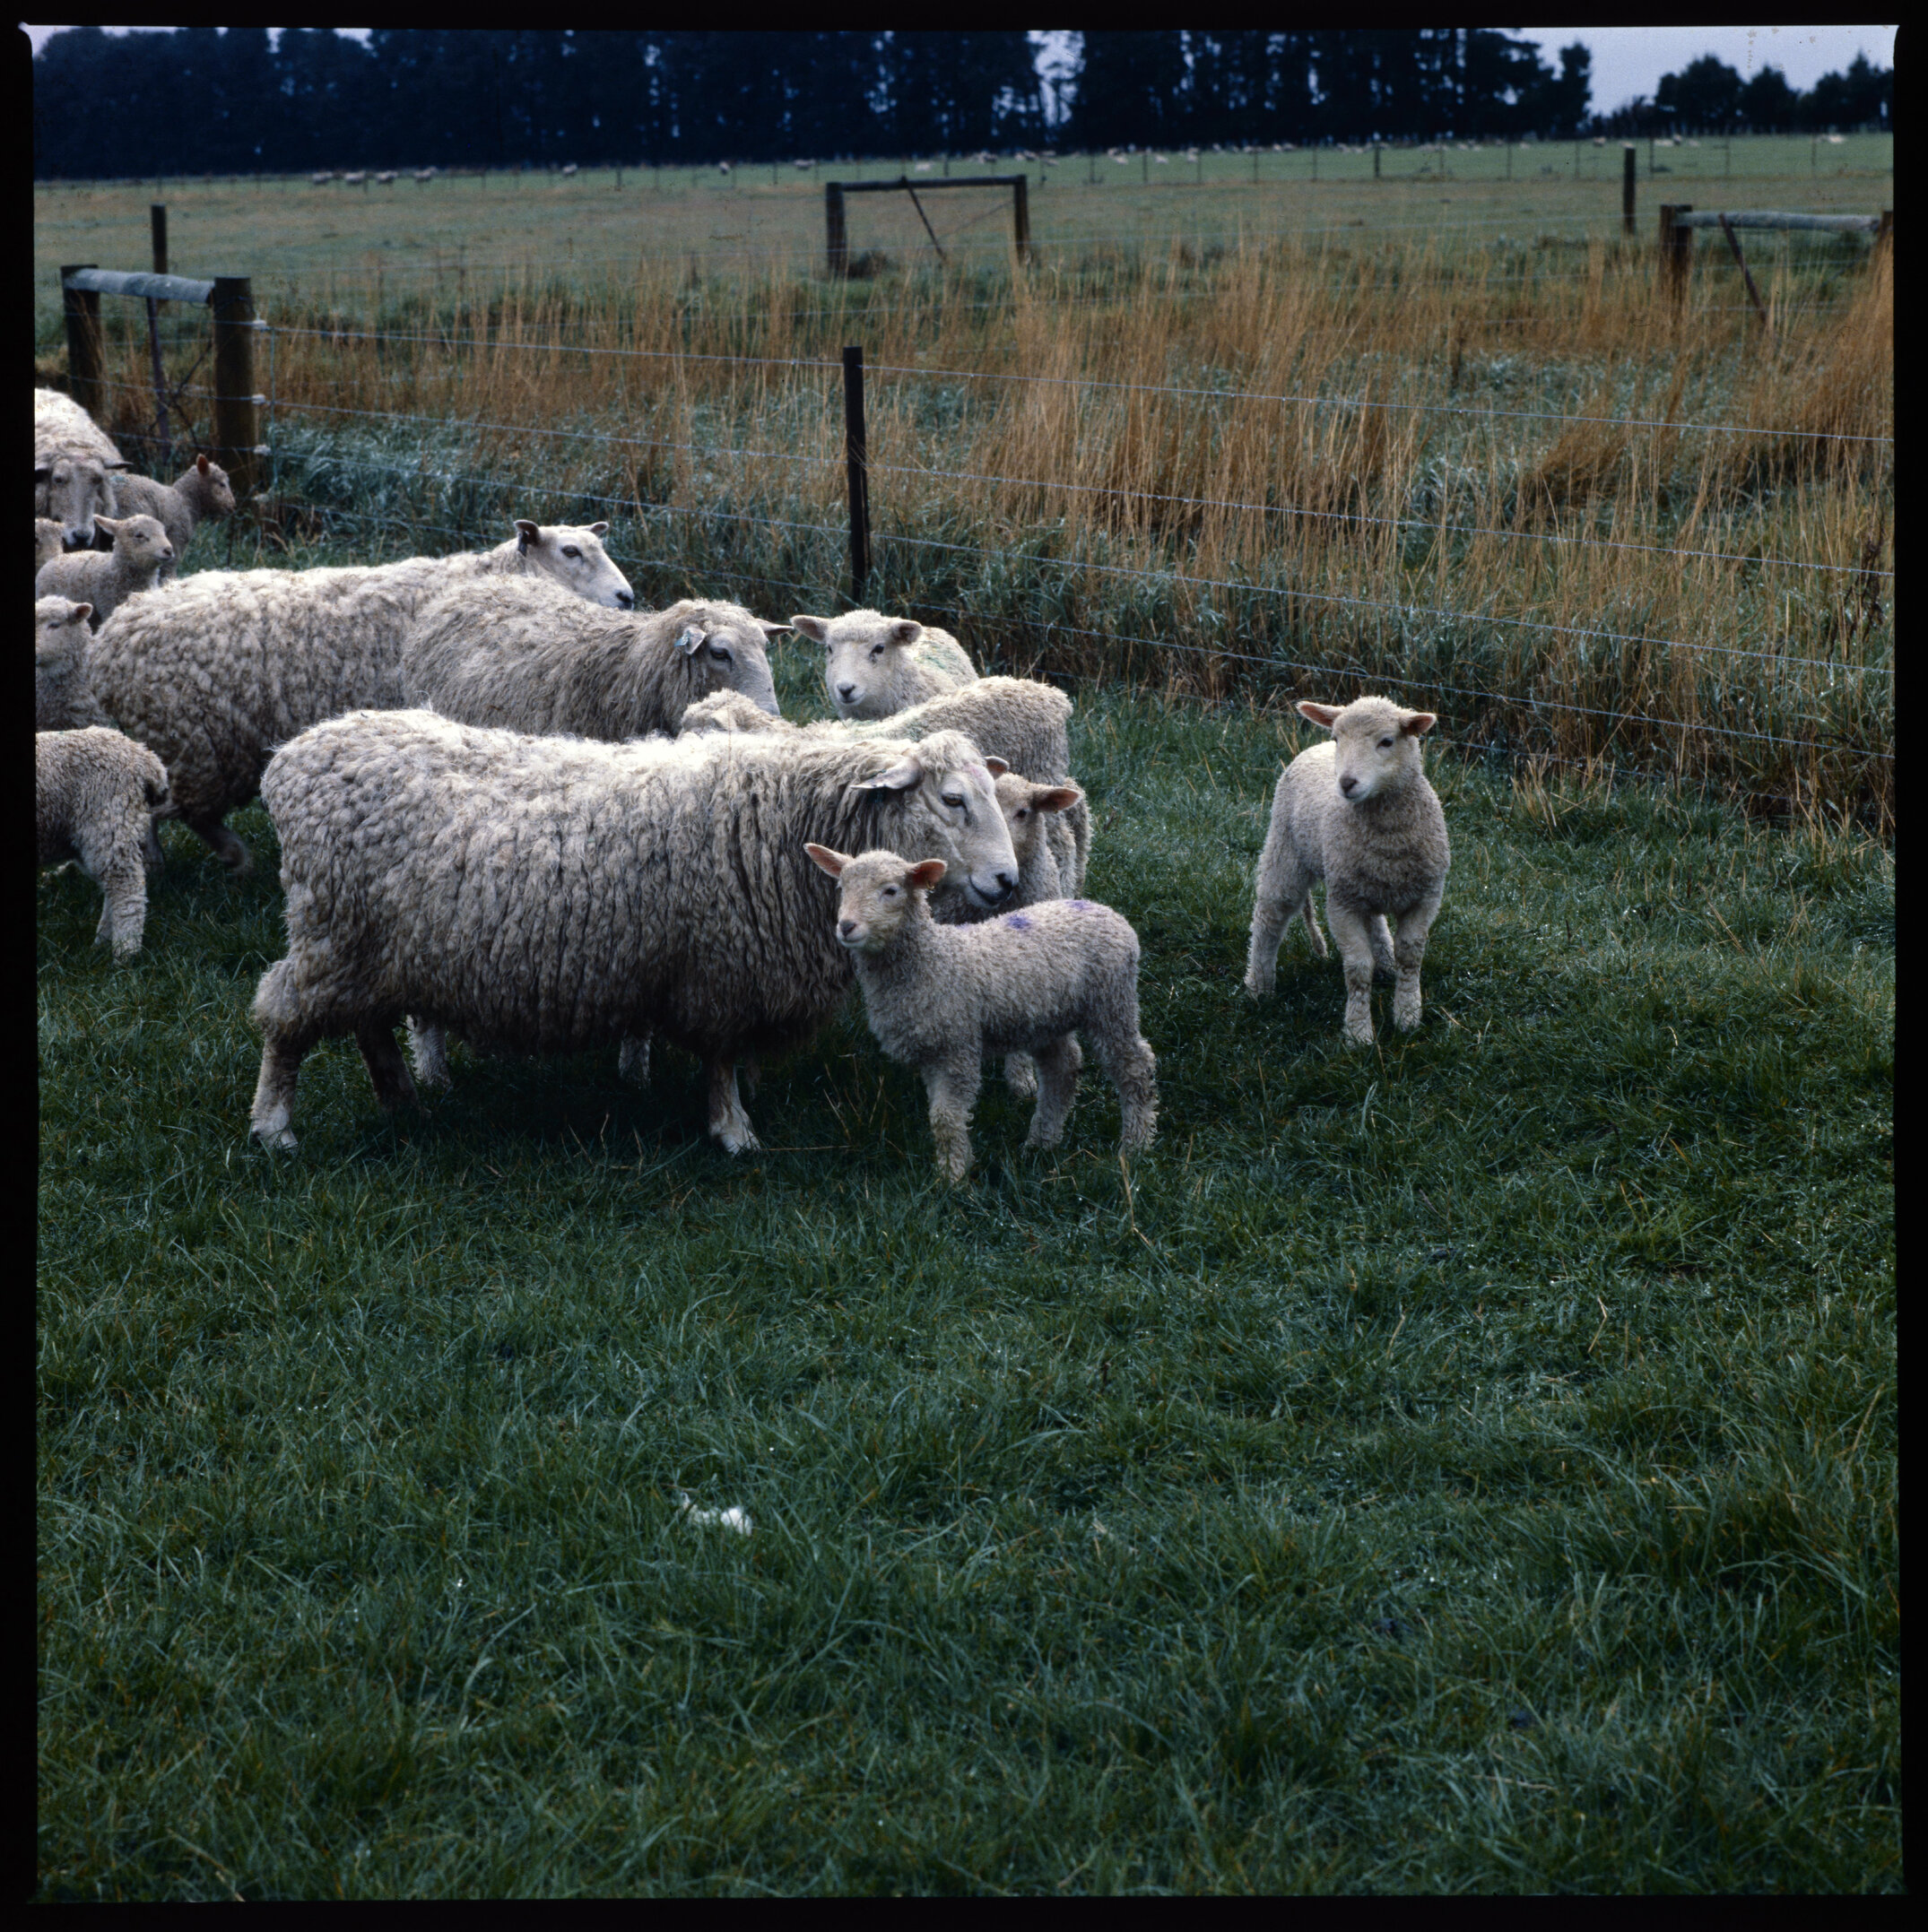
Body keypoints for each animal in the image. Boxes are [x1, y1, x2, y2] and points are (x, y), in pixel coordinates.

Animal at [37, 726, 174, 959]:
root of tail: (144, 756)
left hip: (108, 819)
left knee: (126, 888)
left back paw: (125, 951)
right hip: (95, 836)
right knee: (112, 885)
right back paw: (103, 942)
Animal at [84, 520, 634, 873]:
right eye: (569, 551)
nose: (627, 597)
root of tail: (111, 637)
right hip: (195, 744)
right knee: (177, 810)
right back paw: (217, 861)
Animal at [248, 712, 1020, 1156]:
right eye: (953, 799)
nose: (1009, 880)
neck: (786, 816)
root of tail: (291, 758)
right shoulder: (716, 967)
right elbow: (719, 1056)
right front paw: (734, 1131)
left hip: (370, 947)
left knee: (367, 1022)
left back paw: (401, 1098)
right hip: (332, 931)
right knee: (284, 1017)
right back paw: (275, 1126)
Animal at [804, 845, 1157, 1184]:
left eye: (891, 890)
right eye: (842, 887)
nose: (846, 927)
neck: (932, 959)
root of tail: (1106, 912)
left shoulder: (957, 1048)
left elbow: (945, 1118)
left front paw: (952, 1178)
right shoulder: (932, 1052)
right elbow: (940, 1116)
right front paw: (952, 1168)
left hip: (1111, 1001)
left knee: (1135, 1067)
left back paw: (1135, 1146)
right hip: (1048, 1017)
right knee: (1062, 1069)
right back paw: (1041, 1142)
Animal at [1243, 696, 1450, 1046]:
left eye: (1387, 741)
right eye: (1338, 738)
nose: (1347, 783)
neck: (1389, 840)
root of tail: (1315, 748)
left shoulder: (1425, 898)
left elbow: (1410, 957)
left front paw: (1408, 1015)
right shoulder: (1341, 904)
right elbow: (1357, 968)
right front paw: (1358, 1033)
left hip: (1361, 881)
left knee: (1375, 921)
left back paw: (1386, 963)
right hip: (1286, 851)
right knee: (1269, 917)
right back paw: (1259, 986)